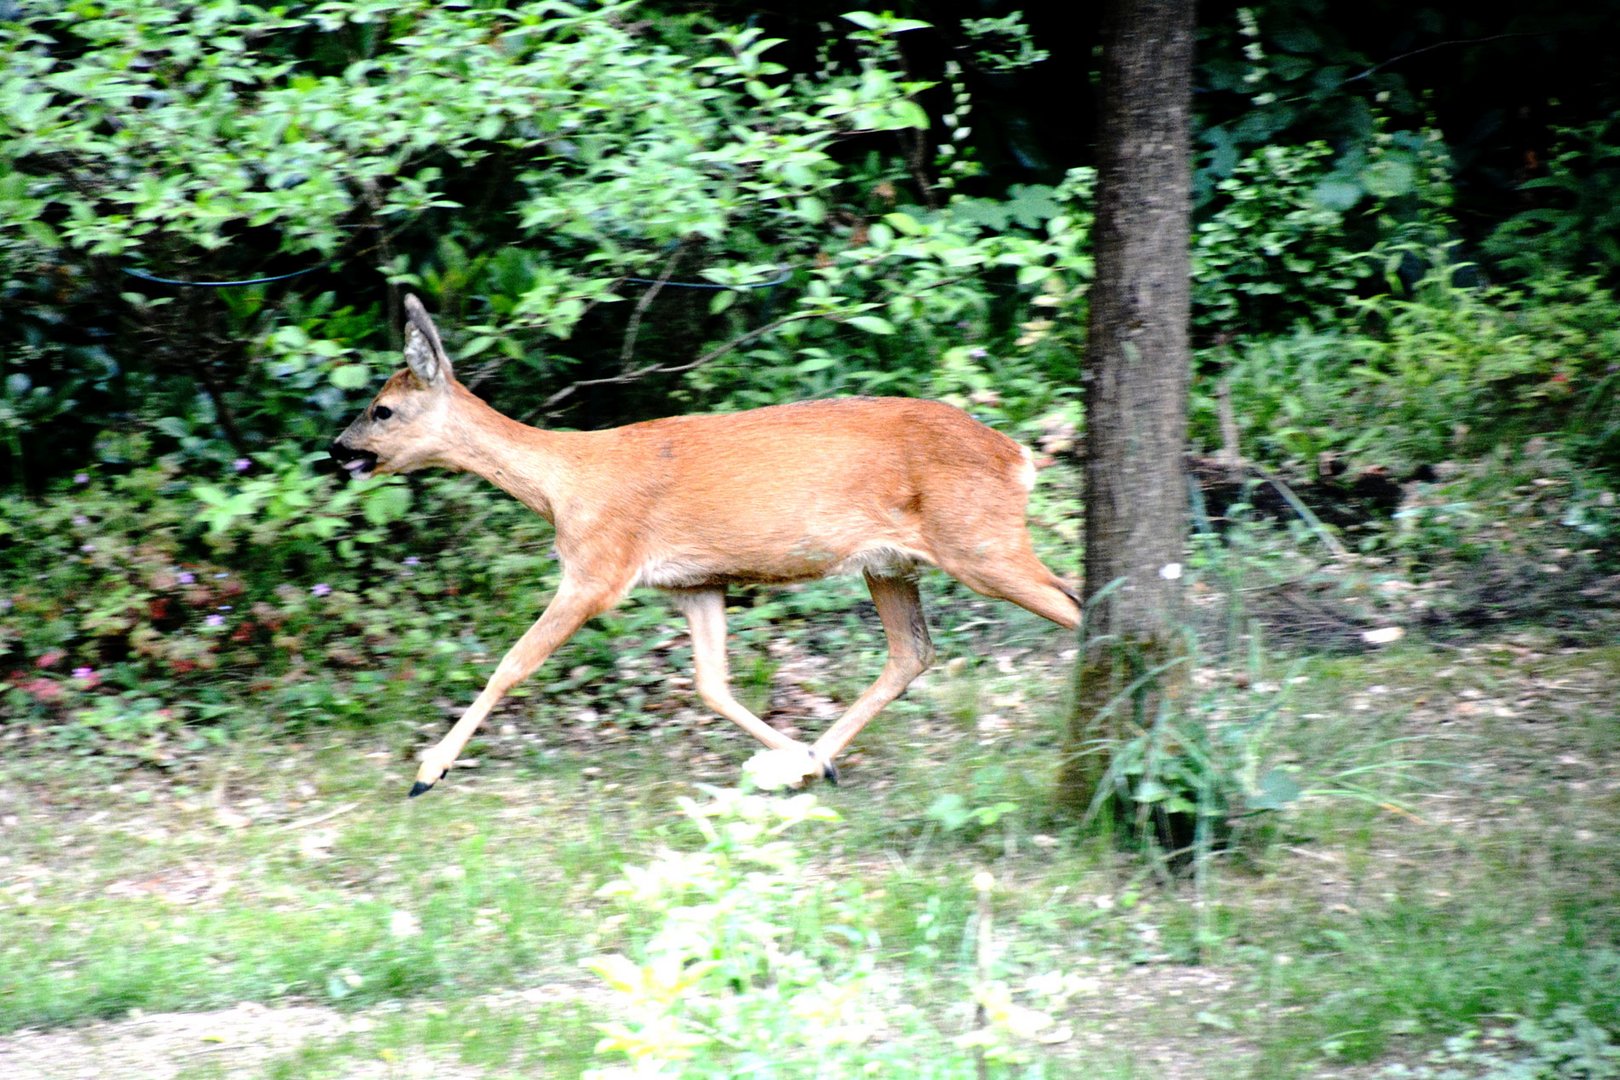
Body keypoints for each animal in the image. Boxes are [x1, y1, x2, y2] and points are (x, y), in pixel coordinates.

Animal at [327, 296, 1075, 793]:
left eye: (382, 409)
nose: (338, 450)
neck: (565, 483)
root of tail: (1017, 457)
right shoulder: (694, 583)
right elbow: (711, 685)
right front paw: (802, 761)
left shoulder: (597, 570)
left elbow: (510, 663)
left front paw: (428, 769)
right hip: (892, 563)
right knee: (913, 651)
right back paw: (817, 760)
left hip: (979, 542)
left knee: (1073, 601)